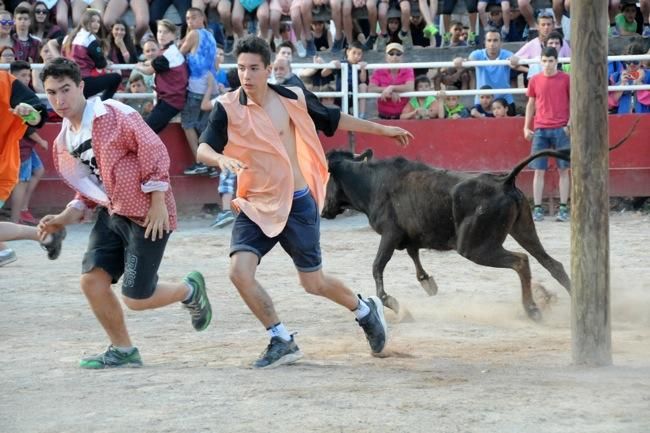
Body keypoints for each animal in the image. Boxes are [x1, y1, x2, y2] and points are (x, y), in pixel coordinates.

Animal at [322, 148, 568, 320]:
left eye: (327, 178)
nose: (324, 211)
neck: (371, 183)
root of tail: (504, 181)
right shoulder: (409, 235)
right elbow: (413, 253)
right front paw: (428, 283)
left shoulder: (390, 234)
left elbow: (377, 266)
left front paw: (394, 304)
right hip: (523, 229)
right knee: (551, 263)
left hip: (474, 247)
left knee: (521, 261)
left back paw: (533, 310)